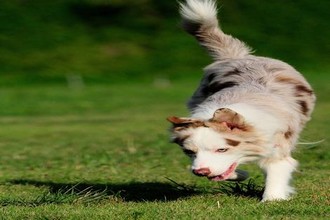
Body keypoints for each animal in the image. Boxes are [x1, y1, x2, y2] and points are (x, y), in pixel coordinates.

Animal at [169, 0, 316, 201]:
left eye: (221, 149)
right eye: (190, 152)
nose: (201, 172)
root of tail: (236, 57)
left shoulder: (277, 143)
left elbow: (276, 168)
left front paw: (272, 199)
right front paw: (240, 175)